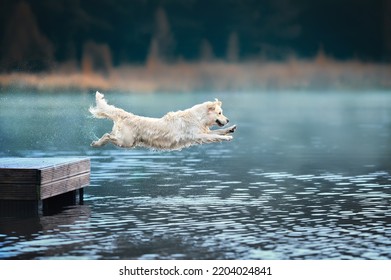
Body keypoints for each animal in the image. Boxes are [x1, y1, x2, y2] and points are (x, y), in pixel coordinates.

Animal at [89, 92, 236, 150]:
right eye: (220, 113)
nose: (228, 119)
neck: (198, 118)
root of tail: (128, 115)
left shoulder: (203, 132)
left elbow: (219, 131)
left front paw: (230, 129)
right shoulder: (198, 135)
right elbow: (216, 136)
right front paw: (228, 137)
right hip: (126, 141)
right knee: (107, 135)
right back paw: (96, 143)